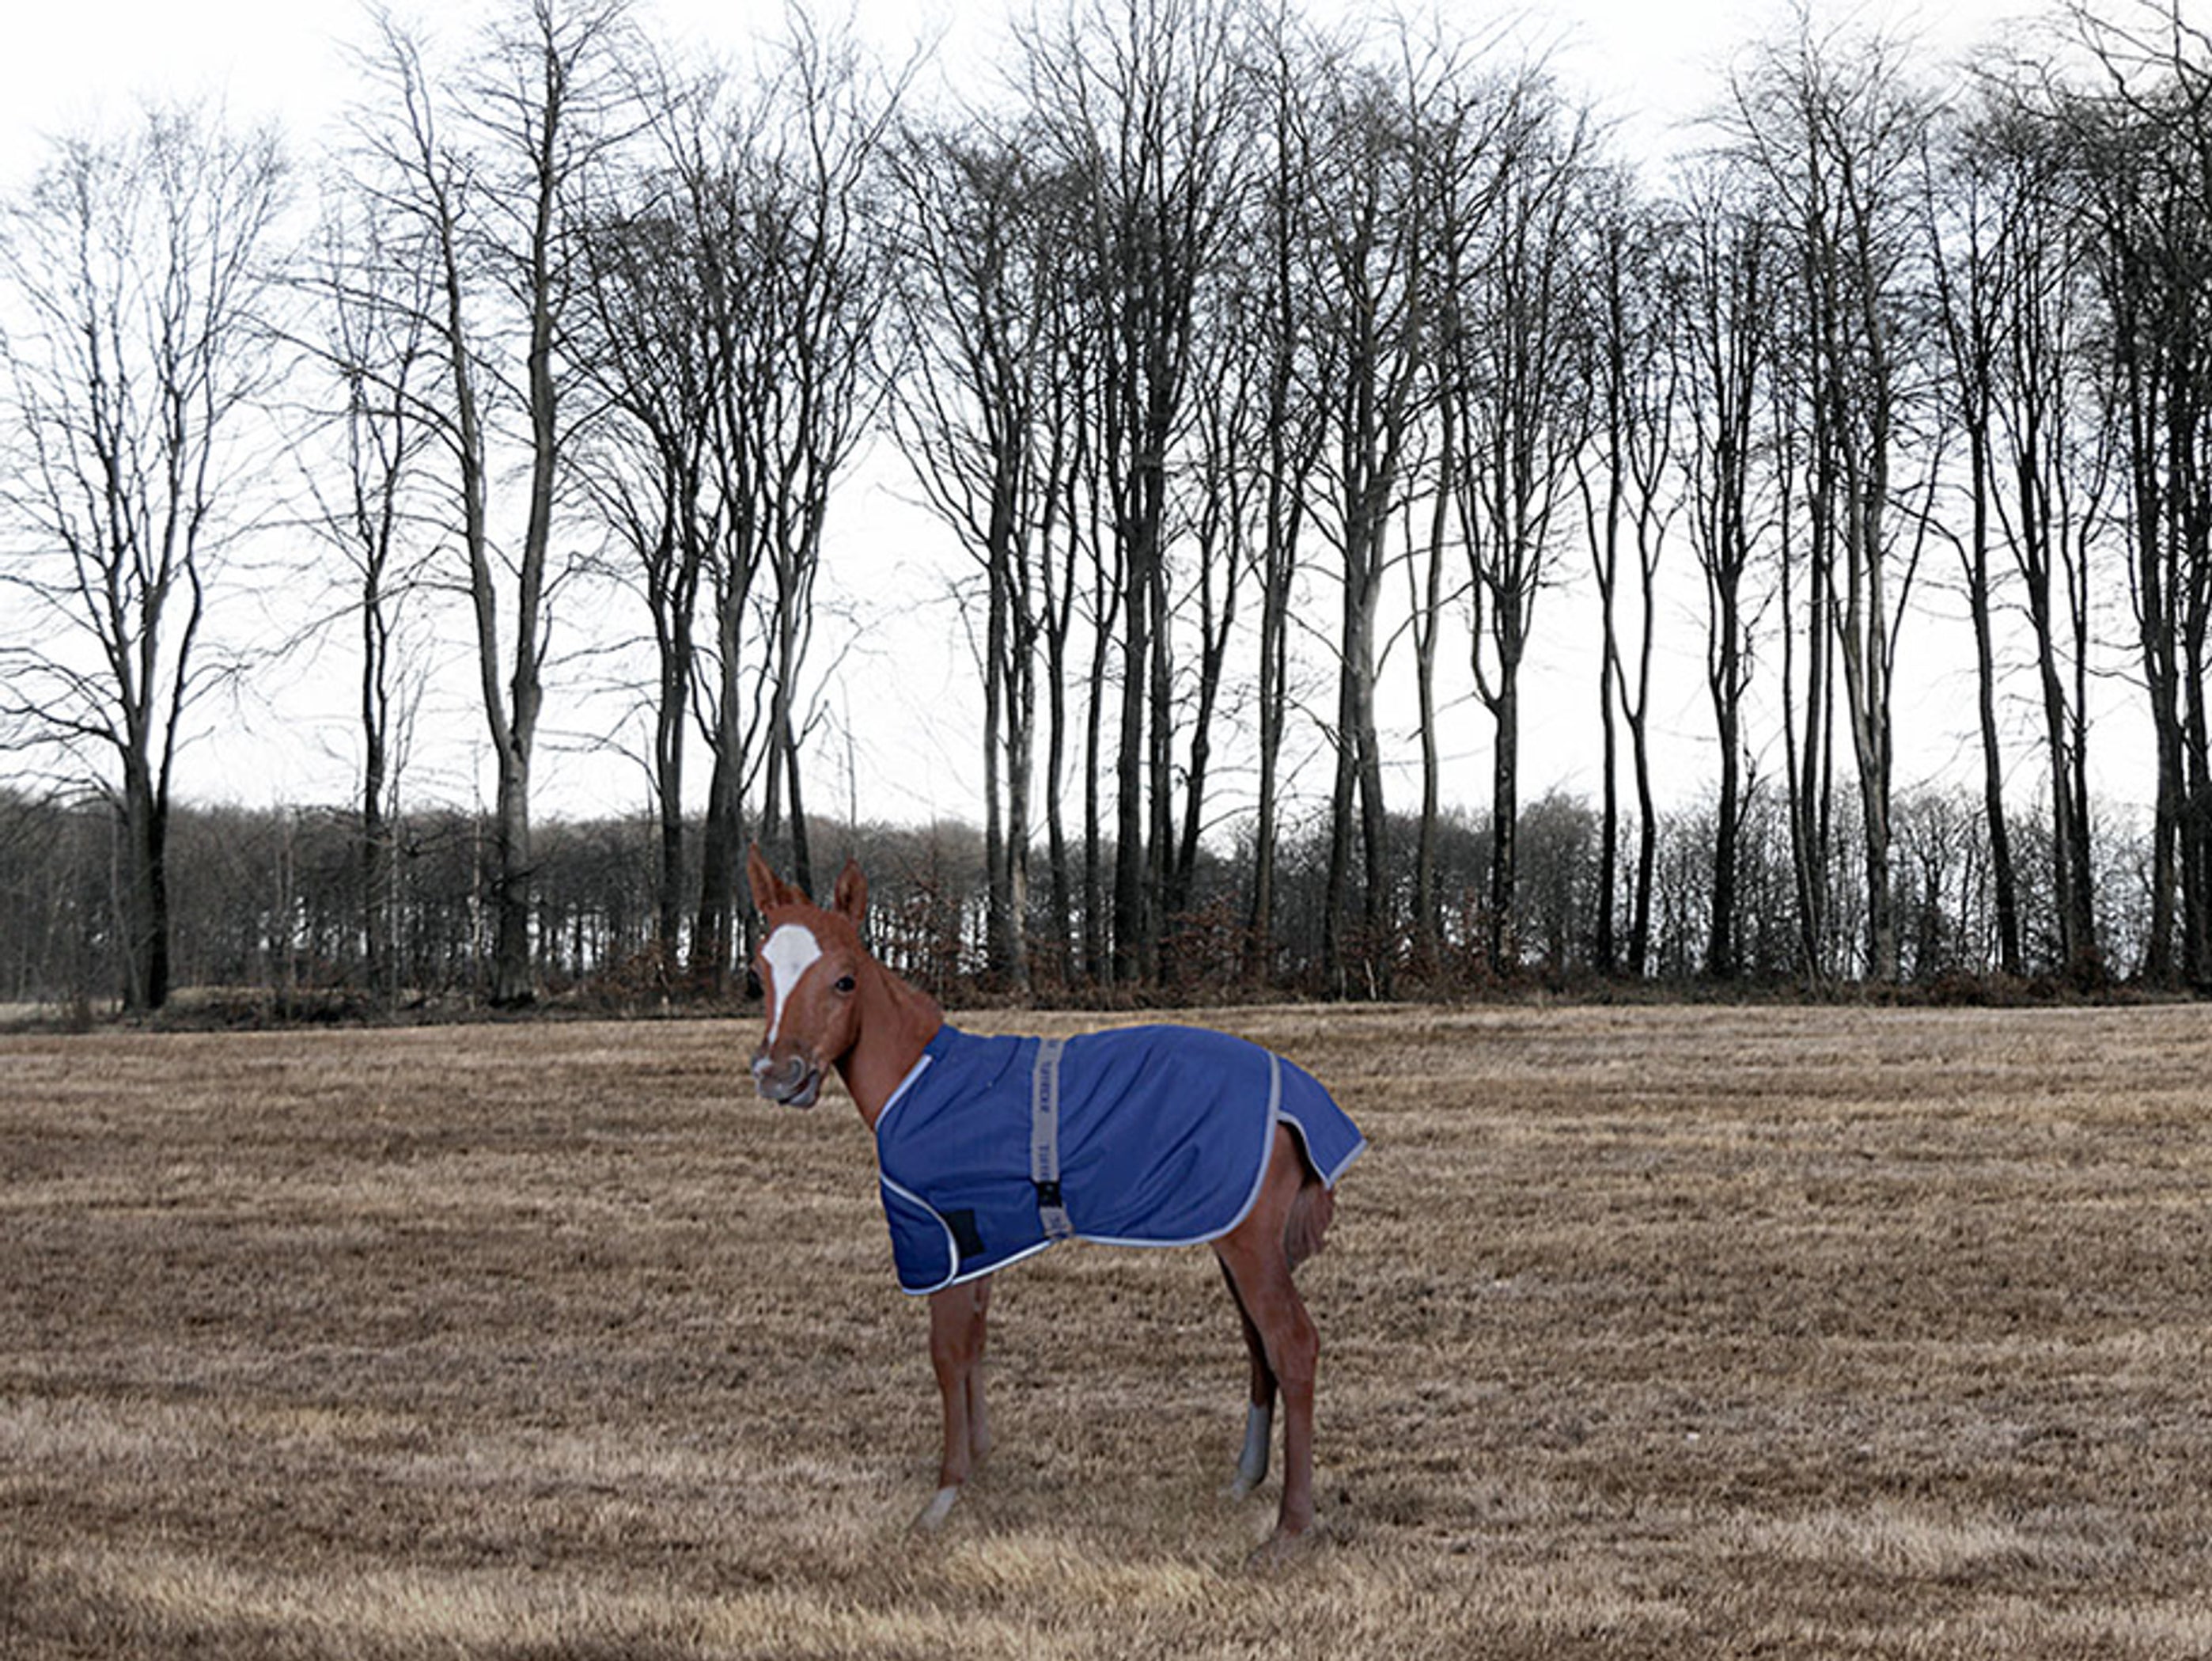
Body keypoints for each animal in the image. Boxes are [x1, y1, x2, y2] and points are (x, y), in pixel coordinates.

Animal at [744, 847, 1365, 1557]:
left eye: (844, 980)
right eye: (758, 973)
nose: (779, 1075)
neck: (919, 1081)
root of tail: (1298, 1093)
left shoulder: (941, 1240)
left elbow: (946, 1352)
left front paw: (943, 1494)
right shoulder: (981, 1241)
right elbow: (975, 1343)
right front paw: (979, 1463)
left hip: (1251, 1245)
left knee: (1293, 1343)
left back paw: (1292, 1525)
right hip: (1232, 1236)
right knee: (1258, 1343)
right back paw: (1245, 1479)